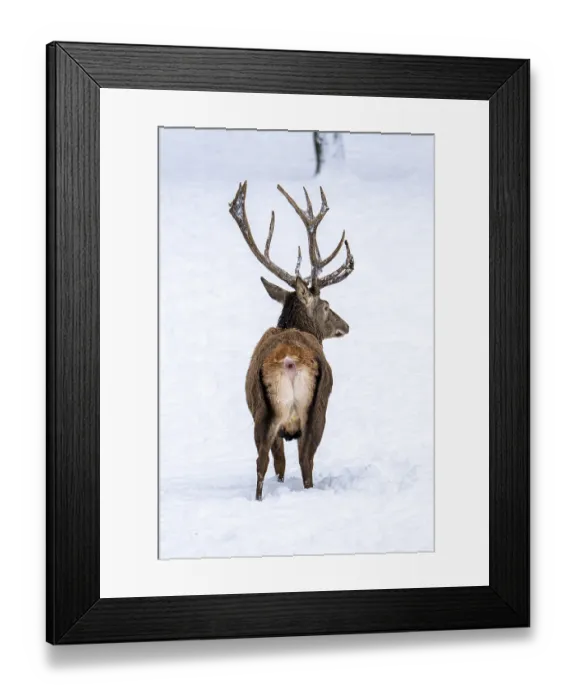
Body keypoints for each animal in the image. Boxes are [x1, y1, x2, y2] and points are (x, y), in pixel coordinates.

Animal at [229, 181, 354, 501]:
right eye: (326, 306)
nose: (345, 325)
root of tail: (289, 360)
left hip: (263, 411)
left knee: (263, 462)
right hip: (316, 410)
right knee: (304, 461)